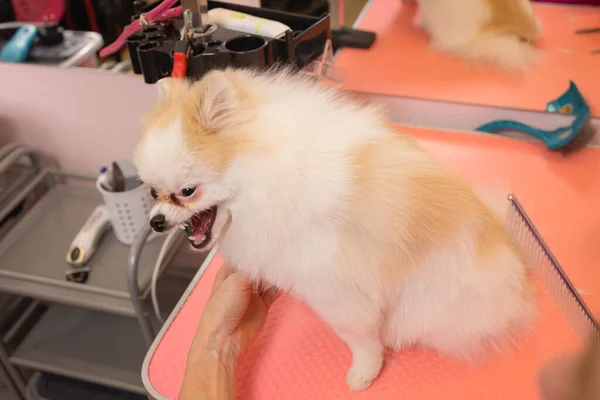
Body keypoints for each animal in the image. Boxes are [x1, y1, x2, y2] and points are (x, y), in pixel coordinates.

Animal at [137, 68, 540, 390]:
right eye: (152, 191)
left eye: (188, 191)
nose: (157, 221)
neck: (266, 174)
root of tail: (513, 261)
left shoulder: (335, 288)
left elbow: (359, 338)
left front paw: (365, 371)